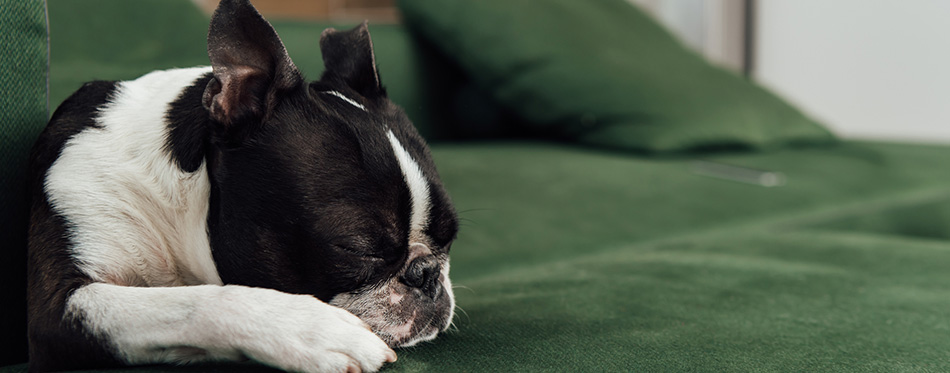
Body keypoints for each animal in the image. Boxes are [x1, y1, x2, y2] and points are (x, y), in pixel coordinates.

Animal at [27, 0, 460, 370]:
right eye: (359, 249)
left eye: (450, 238)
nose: (427, 274)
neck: (172, 202)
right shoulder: (57, 309)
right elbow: (191, 303)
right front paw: (310, 330)